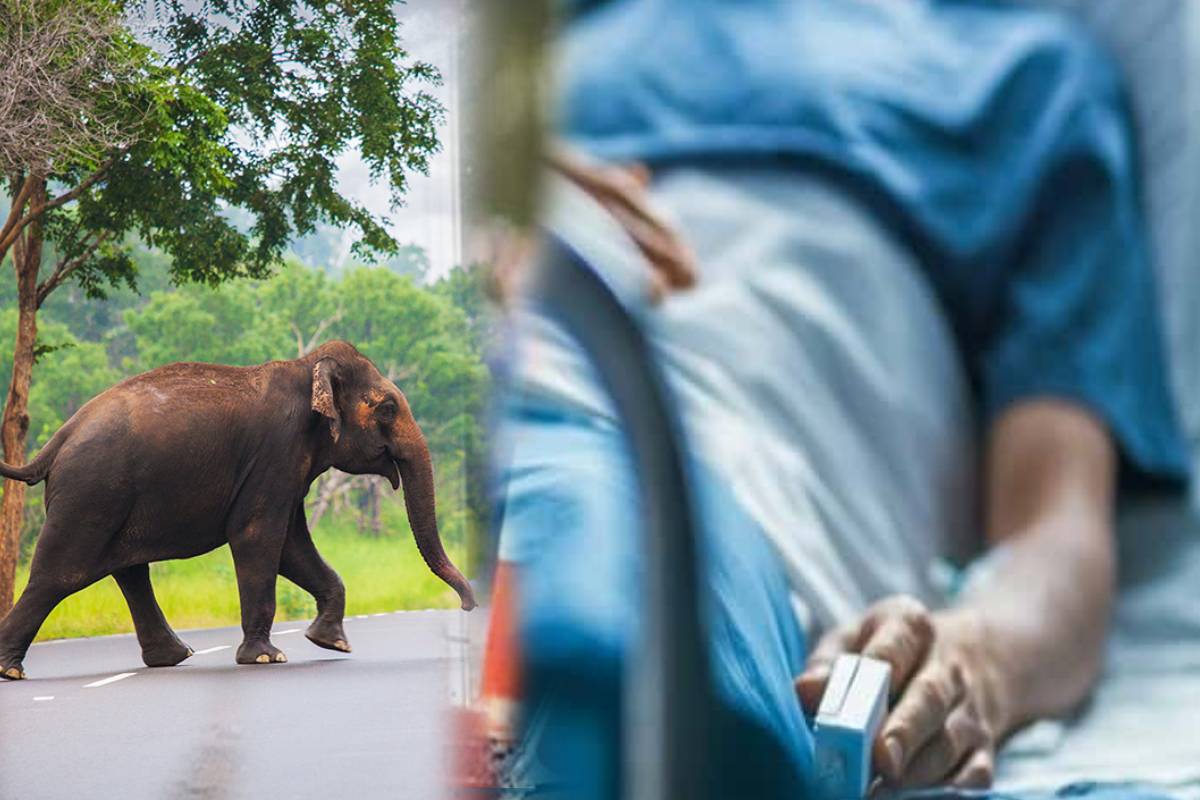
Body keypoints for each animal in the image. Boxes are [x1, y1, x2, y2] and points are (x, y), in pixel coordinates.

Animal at [0, 340, 476, 680]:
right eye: (387, 408)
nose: (469, 606)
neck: (306, 368)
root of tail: (57, 441)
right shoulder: (276, 453)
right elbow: (258, 537)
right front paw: (267, 658)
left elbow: (291, 548)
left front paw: (332, 644)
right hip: (91, 492)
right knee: (60, 575)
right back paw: (10, 670)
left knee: (129, 572)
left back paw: (174, 657)